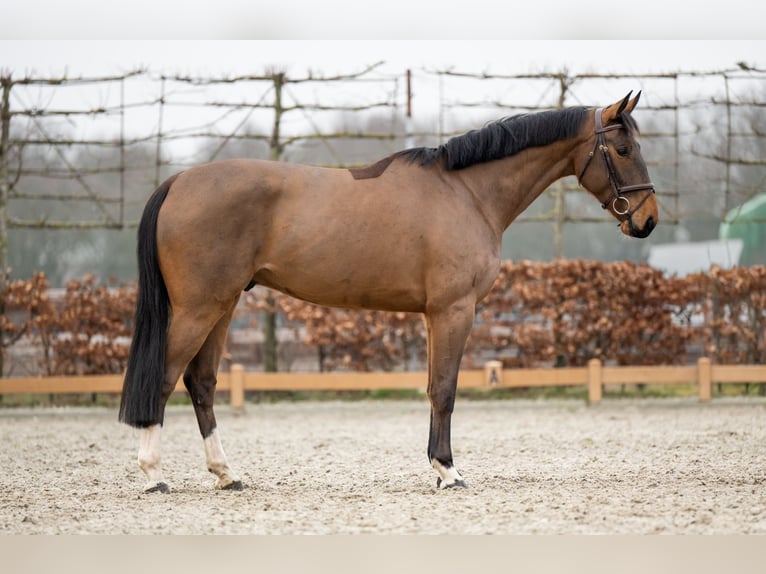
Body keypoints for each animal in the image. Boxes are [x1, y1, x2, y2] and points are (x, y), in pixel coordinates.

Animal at [119, 92, 657, 492]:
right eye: (623, 150)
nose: (648, 220)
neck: (467, 193)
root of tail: (178, 181)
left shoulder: (433, 314)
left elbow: (434, 387)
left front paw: (438, 468)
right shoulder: (454, 310)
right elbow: (445, 390)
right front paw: (448, 471)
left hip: (224, 304)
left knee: (202, 383)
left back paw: (226, 474)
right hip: (199, 307)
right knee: (163, 378)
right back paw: (153, 475)